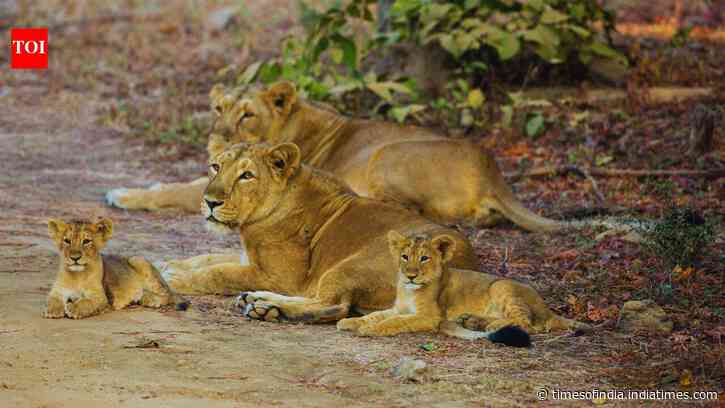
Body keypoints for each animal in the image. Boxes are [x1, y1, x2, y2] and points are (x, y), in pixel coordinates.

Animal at [44, 218, 189, 319]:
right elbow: (52, 300)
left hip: (138, 260)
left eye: (86, 241)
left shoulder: (101, 298)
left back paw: (151, 300)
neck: (77, 276)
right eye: (67, 241)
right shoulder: (57, 291)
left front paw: (73, 309)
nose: (75, 258)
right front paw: (53, 310)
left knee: (168, 294)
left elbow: (87, 303)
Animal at [106, 81, 566, 232]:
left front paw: (123, 194)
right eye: (218, 108)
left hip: (387, 154)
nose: (216, 139)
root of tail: (492, 170)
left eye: (248, 114)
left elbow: (178, 190)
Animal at [159, 141, 479, 323]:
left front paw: (173, 277)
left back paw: (268, 310)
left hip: (351, 266)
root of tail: (466, 263)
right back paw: (258, 301)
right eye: (215, 167)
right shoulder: (249, 259)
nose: (210, 201)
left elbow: (219, 272)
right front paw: (169, 264)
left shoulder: (281, 276)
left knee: (335, 306)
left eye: (246, 175)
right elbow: (209, 257)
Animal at [336, 230, 589, 342]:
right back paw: (472, 320)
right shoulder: (398, 307)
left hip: (501, 286)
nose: (410, 276)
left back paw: (491, 325)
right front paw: (350, 322)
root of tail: (548, 308)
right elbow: (376, 315)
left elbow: (396, 321)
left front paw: (371, 329)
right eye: (405, 256)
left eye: (424, 258)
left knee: (529, 324)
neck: (408, 290)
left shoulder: (430, 316)